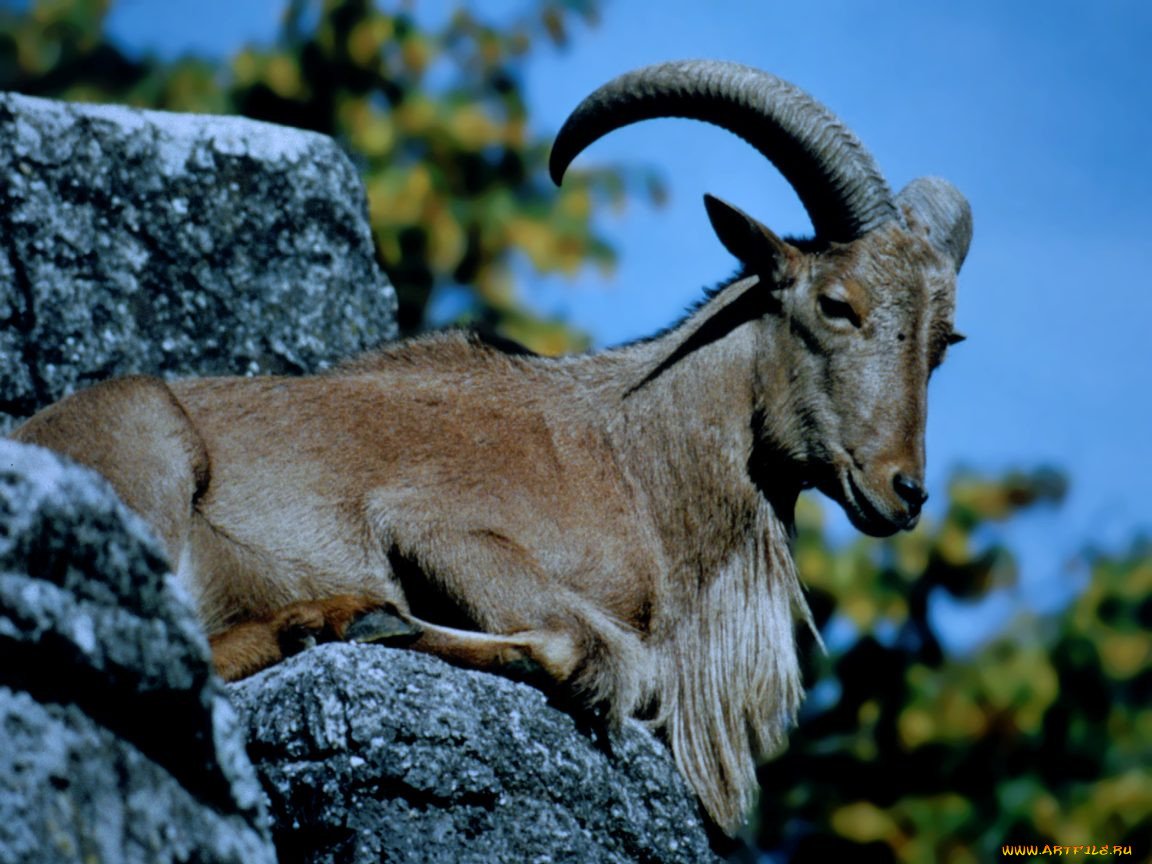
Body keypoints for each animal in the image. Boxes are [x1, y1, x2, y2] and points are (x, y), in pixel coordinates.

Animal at [10, 60, 971, 833]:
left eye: (945, 342)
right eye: (837, 303)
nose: (903, 491)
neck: (632, 455)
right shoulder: (437, 528)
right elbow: (600, 655)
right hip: (148, 441)